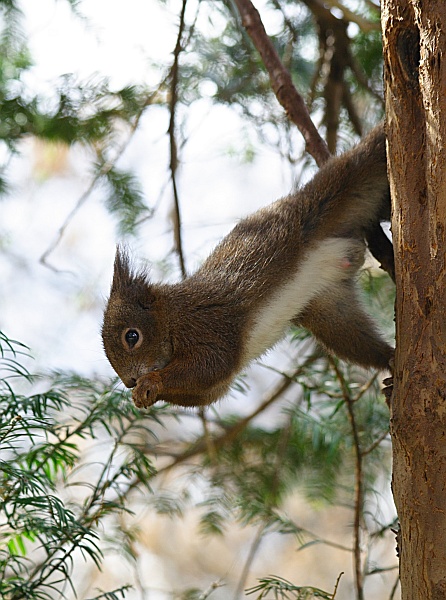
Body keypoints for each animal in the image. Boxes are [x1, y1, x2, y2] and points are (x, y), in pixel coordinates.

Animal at [102, 124, 394, 410]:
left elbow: (210, 366)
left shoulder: (207, 327)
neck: (172, 316)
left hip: (338, 189)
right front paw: (141, 395)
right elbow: (208, 392)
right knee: (358, 340)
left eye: (132, 336)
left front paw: (152, 381)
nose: (129, 381)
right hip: (329, 308)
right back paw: (391, 360)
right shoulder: (213, 380)